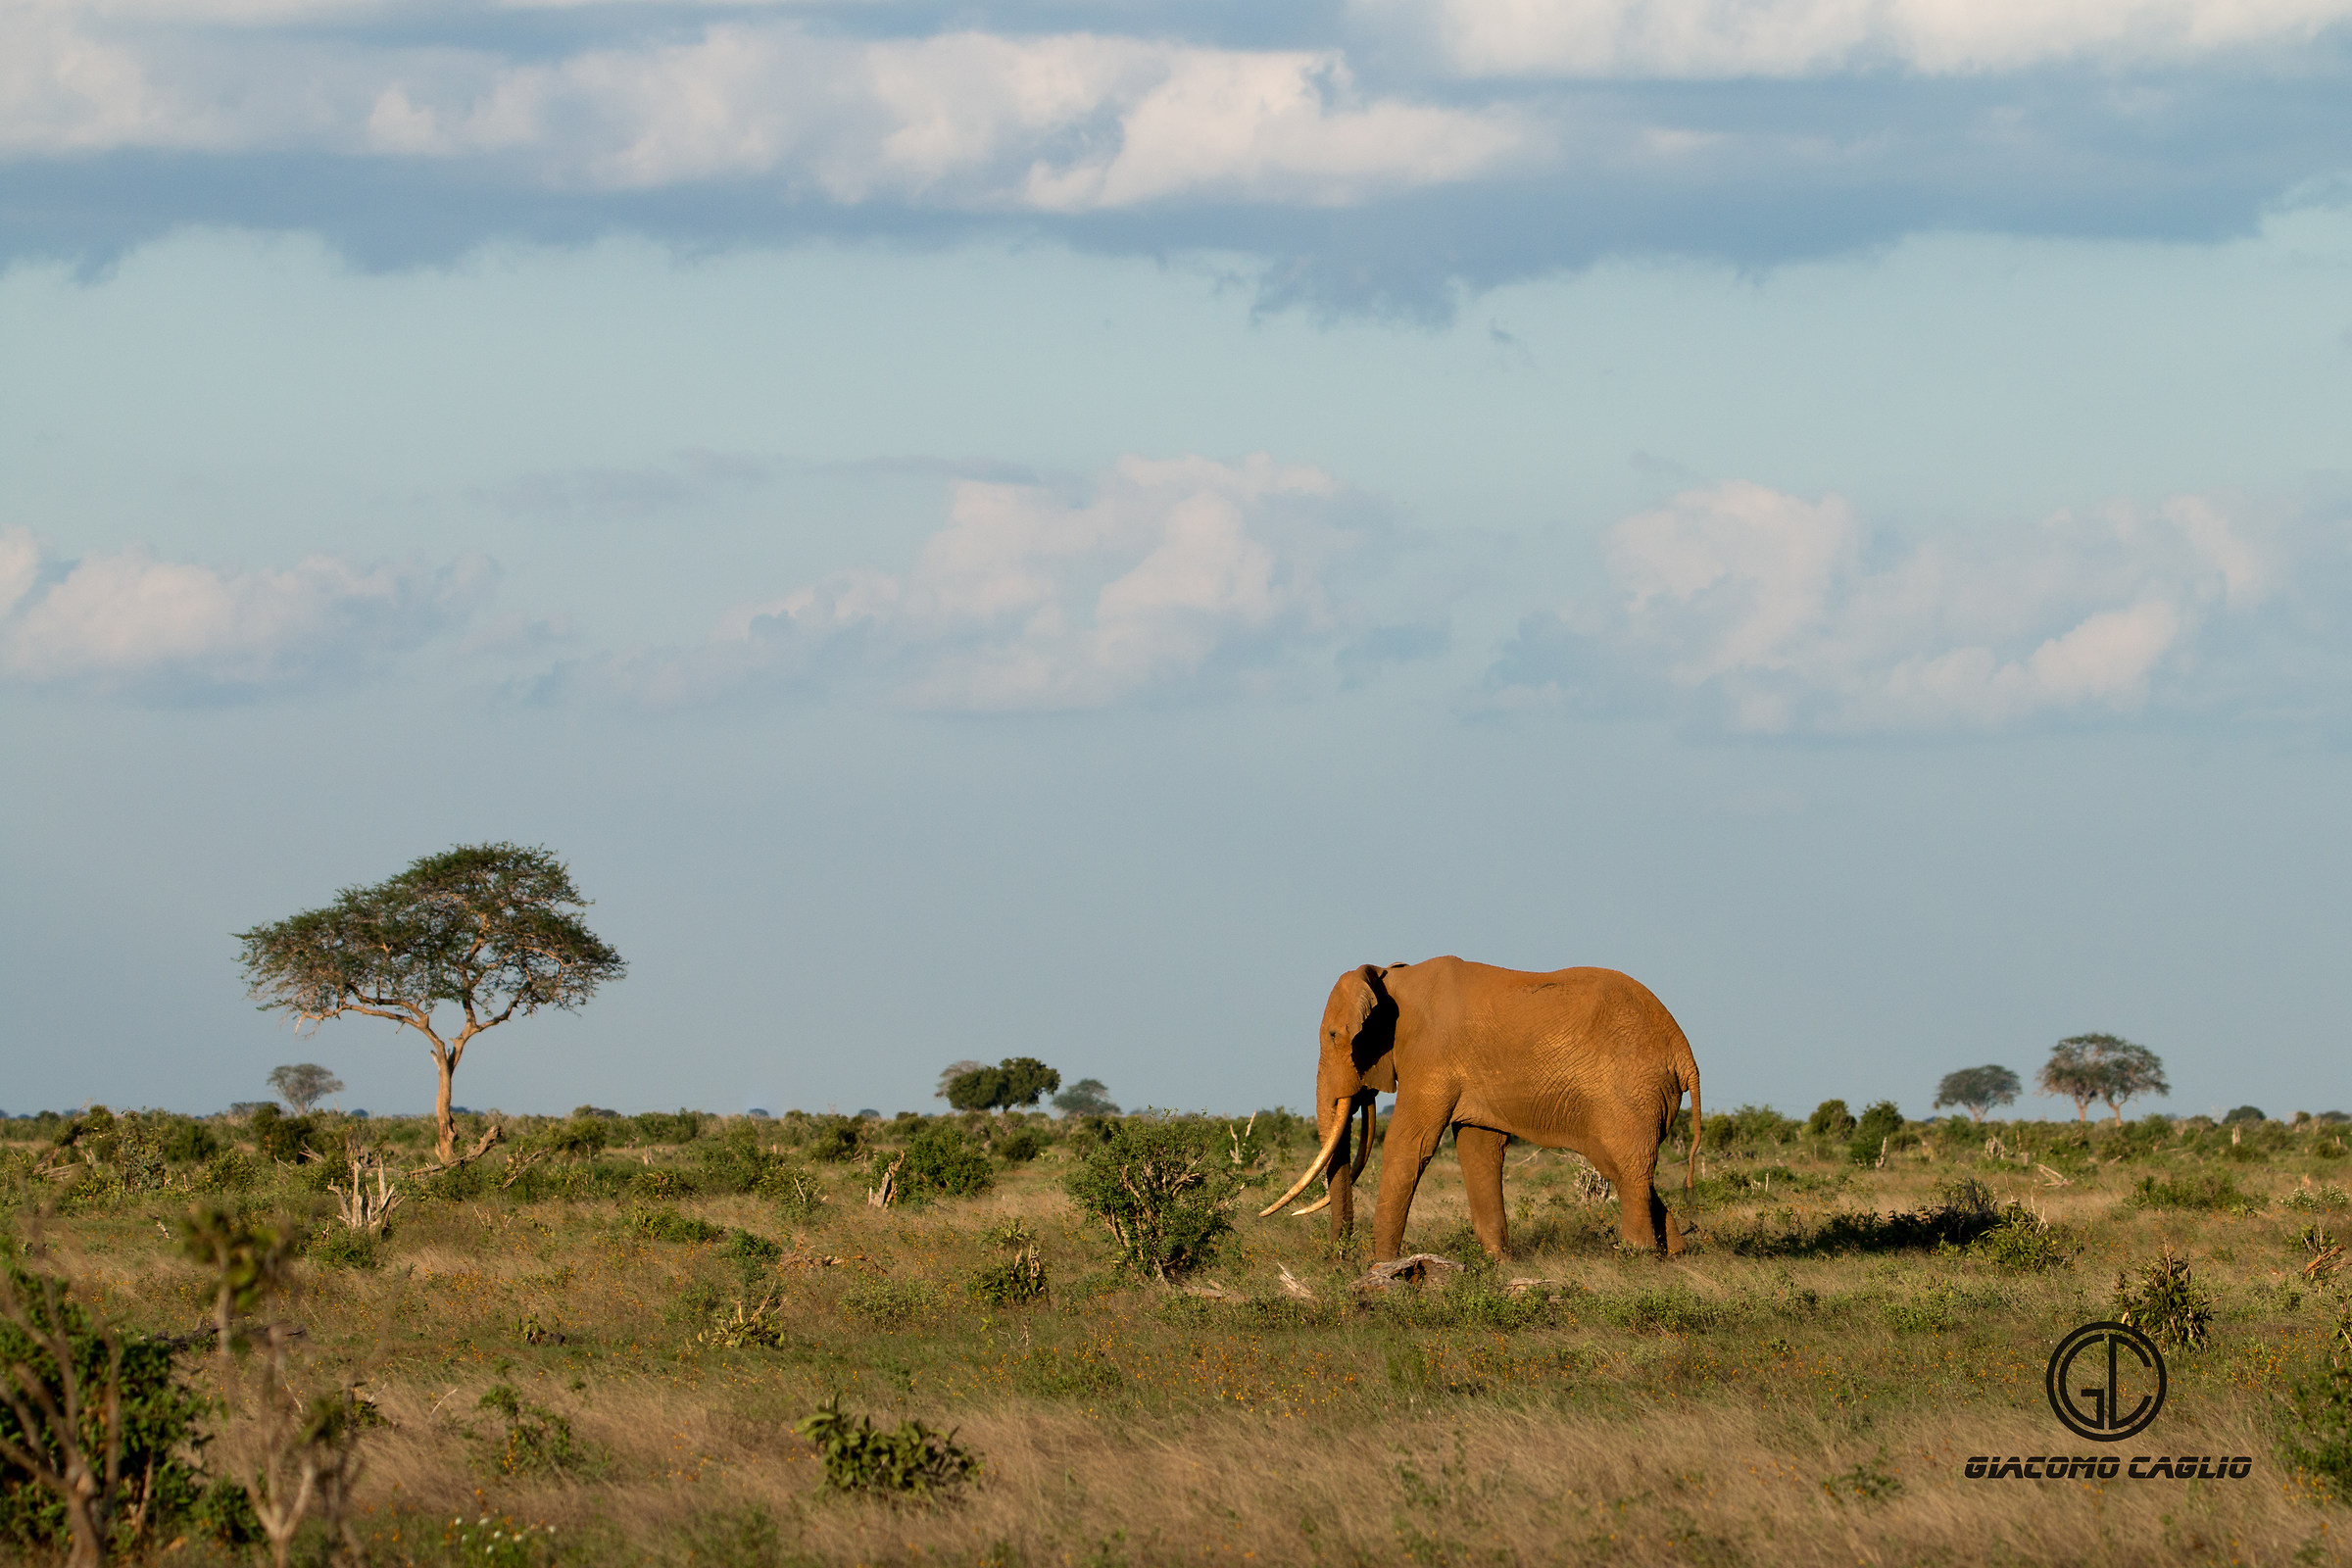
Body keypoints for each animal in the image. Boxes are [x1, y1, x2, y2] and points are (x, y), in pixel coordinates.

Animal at [1259, 958, 1702, 1260]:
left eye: (1335, 1036)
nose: (1339, 1255)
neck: (1391, 977)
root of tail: (1685, 1053)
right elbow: (1478, 1149)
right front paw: (1497, 1263)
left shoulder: (1431, 1055)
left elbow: (1410, 1144)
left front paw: (1380, 1266)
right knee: (1625, 1171)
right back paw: (1675, 1258)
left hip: (1631, 1092)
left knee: (1628, 1170)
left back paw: (1638, 1259)